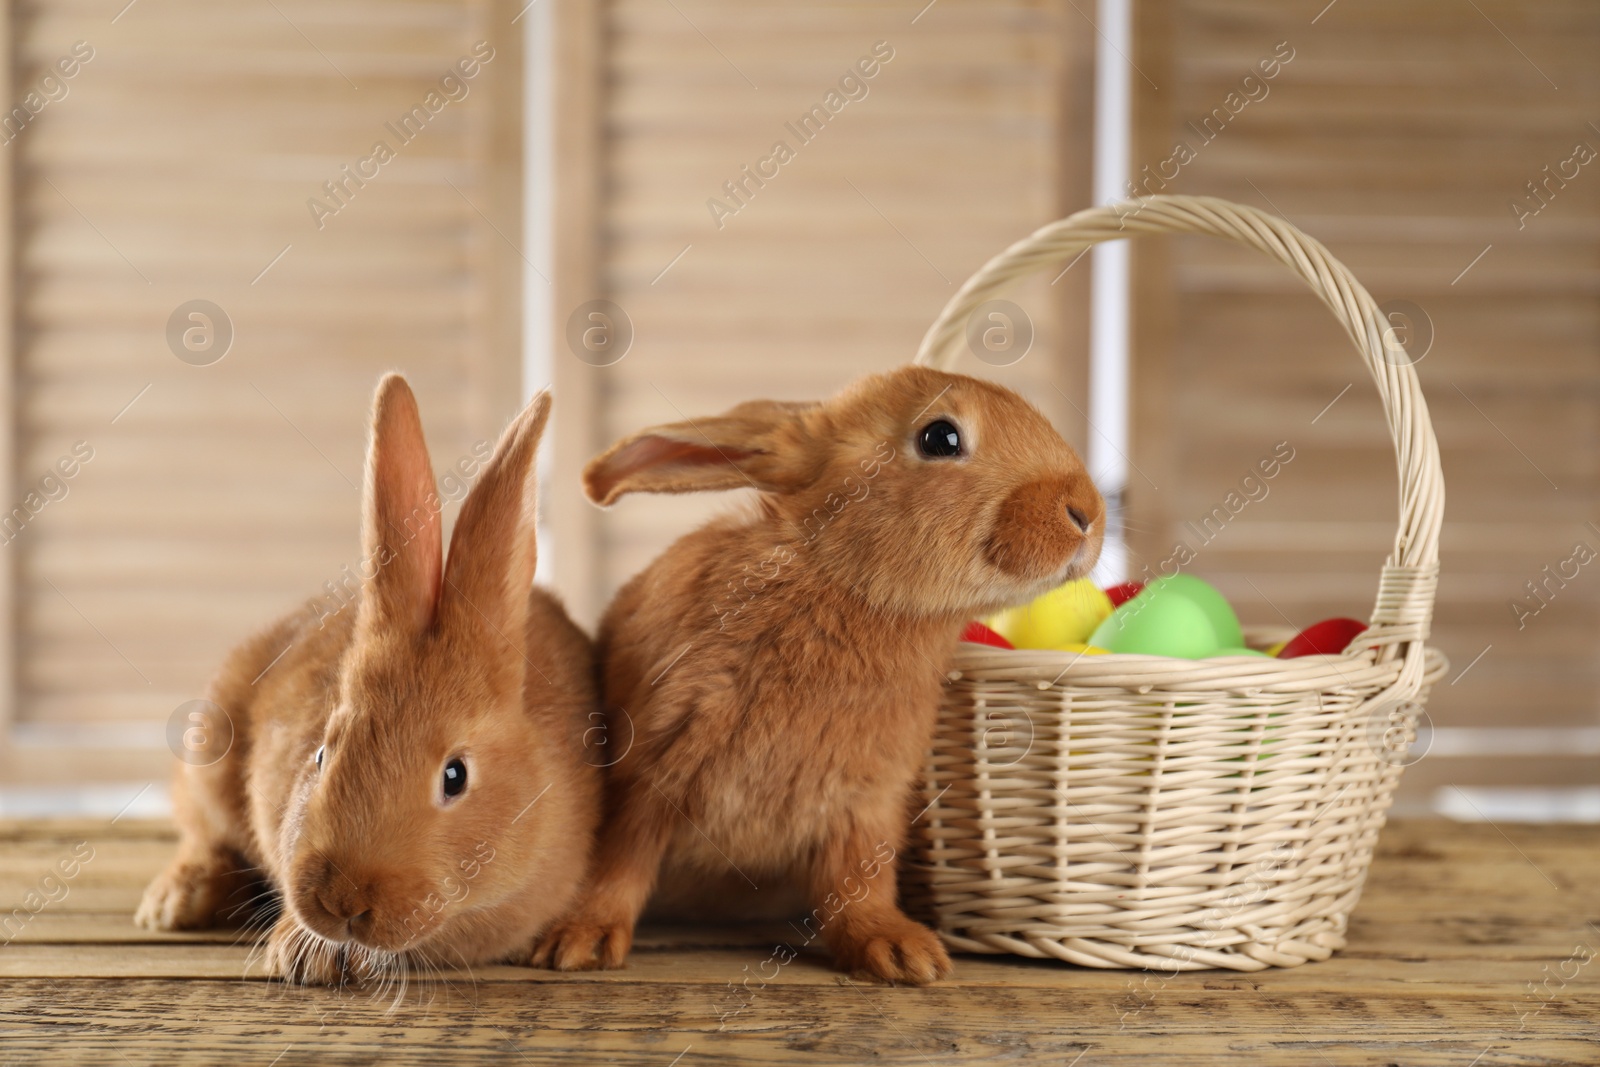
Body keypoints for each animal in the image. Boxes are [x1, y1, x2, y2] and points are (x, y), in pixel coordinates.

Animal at [136, 375, 601, 985]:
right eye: (321, 755)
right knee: (201, 832)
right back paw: (173, 902)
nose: (342, 900)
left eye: (455, 776)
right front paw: (303, 951)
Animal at [537, 364, 1100, 985]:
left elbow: (859, 884)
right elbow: (619, 861)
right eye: (941, 438)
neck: (840, 580)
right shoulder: (647, 775)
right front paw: (579, 941)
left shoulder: (866, 806)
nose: (1086, 513)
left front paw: (901, 952)